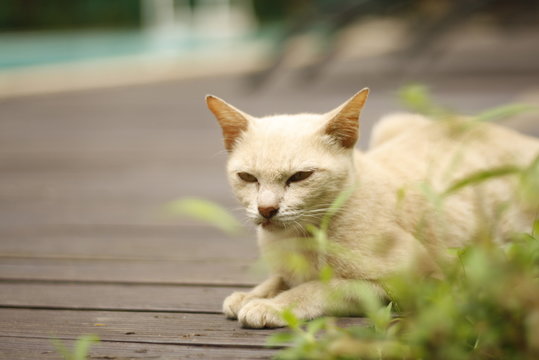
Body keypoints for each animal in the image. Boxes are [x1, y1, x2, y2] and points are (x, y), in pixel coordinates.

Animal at [206, 88, 539, 328]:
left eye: (300, 177)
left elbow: (318, 287)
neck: (301, 238)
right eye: (247, 177)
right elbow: (280, 278)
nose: (266, 209)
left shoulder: (411, 282)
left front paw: (272, 305)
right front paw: (252, 294)